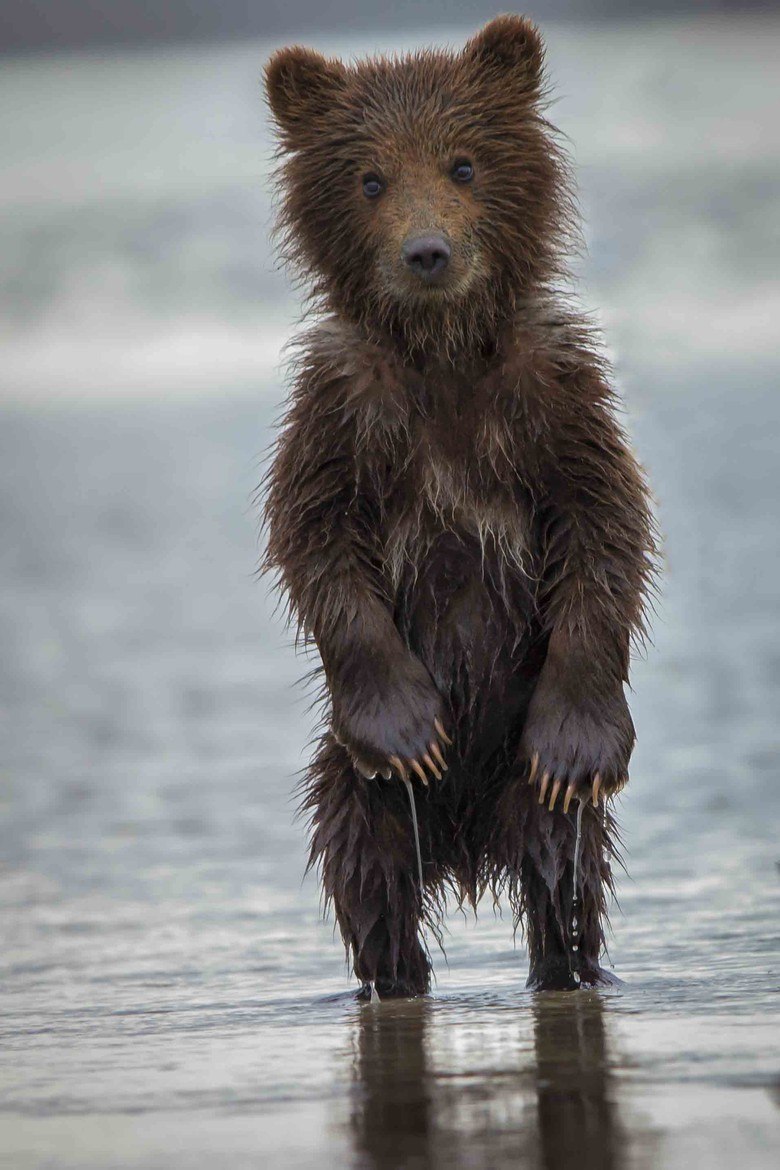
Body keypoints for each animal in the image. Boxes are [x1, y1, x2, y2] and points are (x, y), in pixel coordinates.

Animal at [262, 14, 657, 994]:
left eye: (464, 164)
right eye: (370, 178)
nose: (428, 253)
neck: (441, 355)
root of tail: (470, 848)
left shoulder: (553, 397)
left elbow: (607, 527)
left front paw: (580, 745)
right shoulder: (342, 411)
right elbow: (314, 542)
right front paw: (410, 730)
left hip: (523, 781)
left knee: (563, 872)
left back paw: (566, 965)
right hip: (350, 784)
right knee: (368, 874)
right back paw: (392, 972)